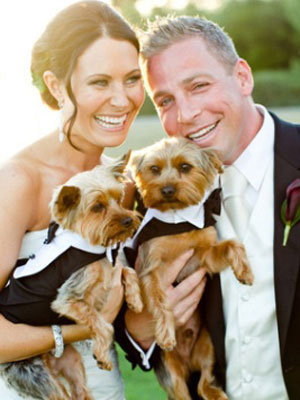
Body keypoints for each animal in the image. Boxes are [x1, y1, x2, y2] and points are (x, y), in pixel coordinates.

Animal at [0, 154, 142, 400]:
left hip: (71, 360)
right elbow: (101, 323)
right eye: (98, 207)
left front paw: (135, 299)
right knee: (57, 393)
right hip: (32, 372)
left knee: (80, 391)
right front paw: (102, 354)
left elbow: (127, 270)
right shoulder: (67, 299)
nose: (128, 221)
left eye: (119, 198)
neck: (94, 249)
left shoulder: (110, 270)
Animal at [127, 138, 254, 400]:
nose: (167, 190)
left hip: (208, 346)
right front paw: (165, 333)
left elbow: (230, 245)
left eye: (185, 167)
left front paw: (244, 271)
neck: (178, 221)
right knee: (182, 391)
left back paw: (217, 394)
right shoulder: (149, 268)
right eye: (154, 169)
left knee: (203, 383)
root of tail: (186, 362)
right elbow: (159, 300)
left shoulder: (203, 257)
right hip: (168, 368)